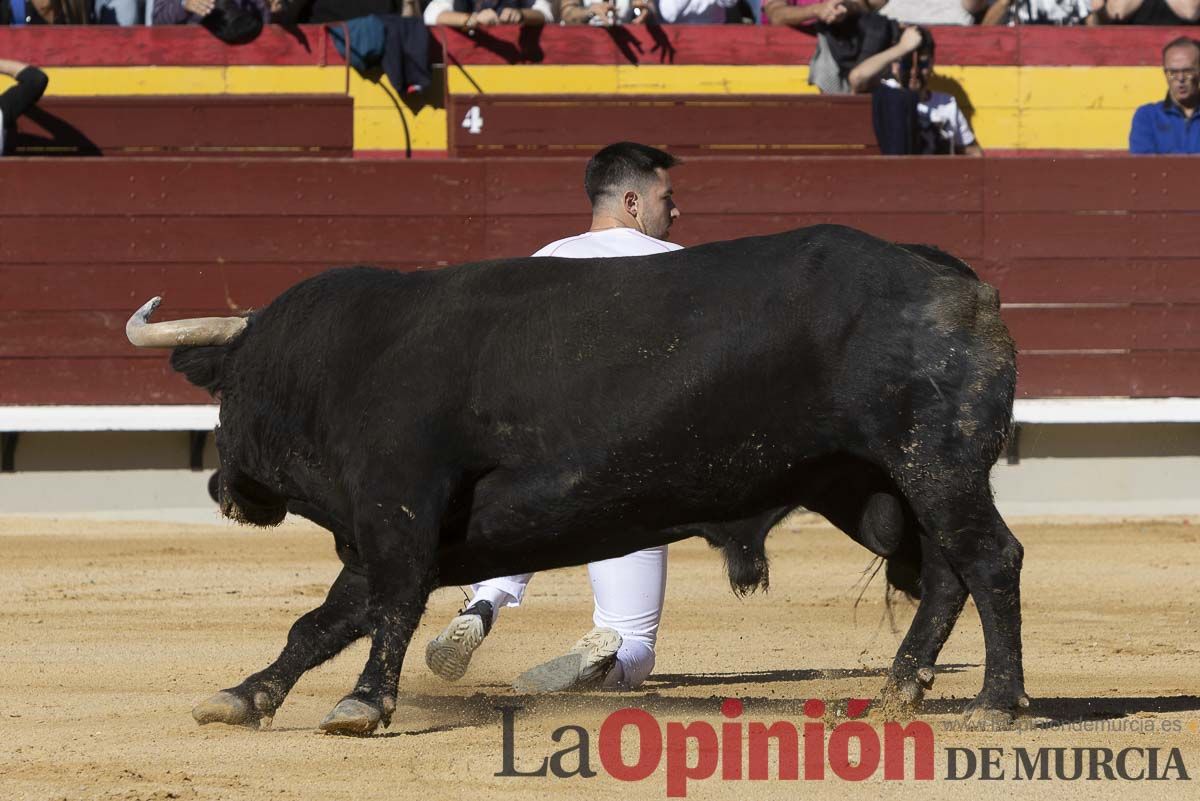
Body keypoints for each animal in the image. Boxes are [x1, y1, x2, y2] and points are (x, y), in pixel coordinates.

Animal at [154, 224, 1027, 733]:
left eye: (228, 393)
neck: (347, 360)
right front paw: (245, 694)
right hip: (877, 481)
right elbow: (321, 621)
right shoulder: (378, 535)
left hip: (936, 462)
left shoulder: (398, 511)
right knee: (945, 575)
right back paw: (897, 693)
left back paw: (995, 703)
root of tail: (958, 280)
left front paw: (363, 702)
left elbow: (389, 608)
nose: (221, 488)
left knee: (991, 560)